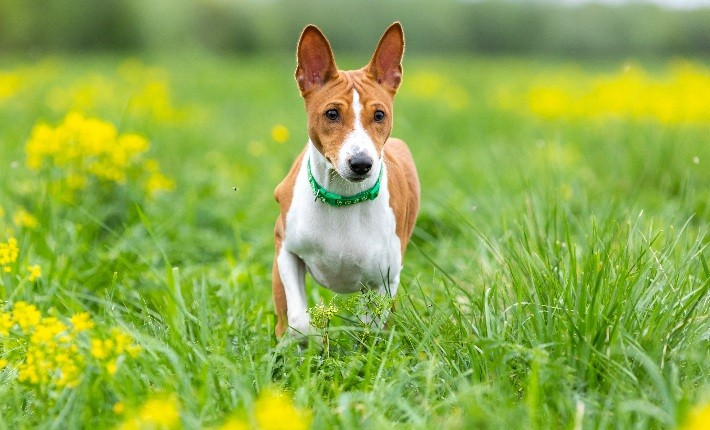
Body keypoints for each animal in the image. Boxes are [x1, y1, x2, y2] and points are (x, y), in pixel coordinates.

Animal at [272, 22, 418, 340]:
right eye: (331, 113)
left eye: (379, 115)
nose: (361, 163)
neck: (343, 198)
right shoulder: (285, 250)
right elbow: (300, 321)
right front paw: (315, 338)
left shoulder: (384, 279)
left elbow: (371, 330)